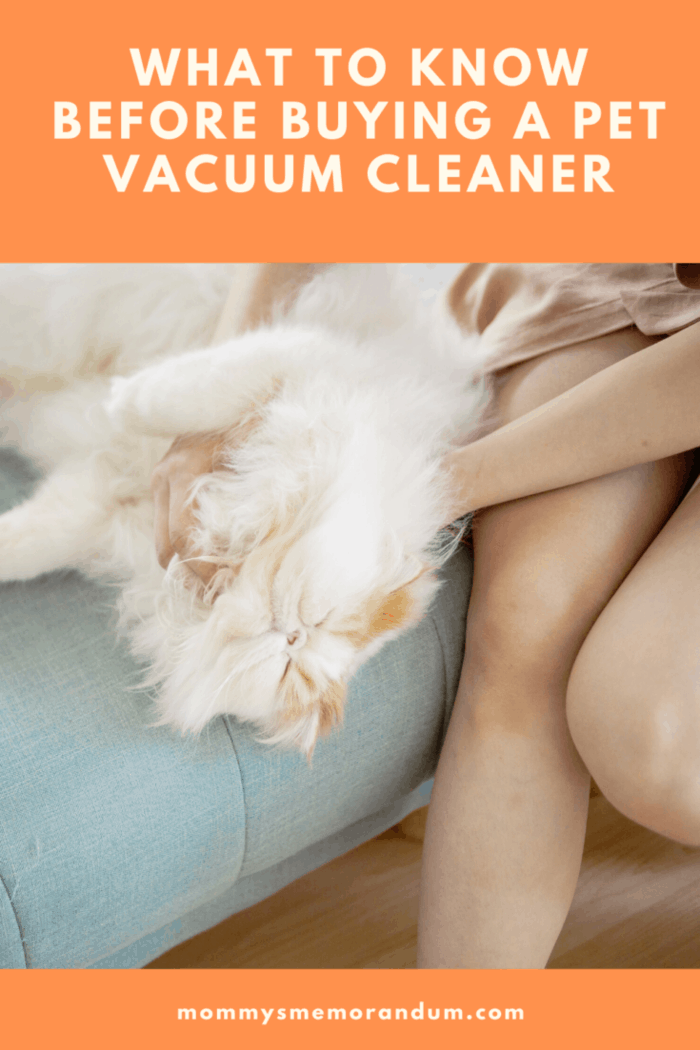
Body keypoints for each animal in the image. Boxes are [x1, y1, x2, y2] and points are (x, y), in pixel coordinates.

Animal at [0, 262, 482, 755]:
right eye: (321, 621)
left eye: (291, 663)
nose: (292, 634)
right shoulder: (315, 357)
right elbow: (201, 387)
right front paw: (125, 399)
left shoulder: (102, 501)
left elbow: (31, 542)